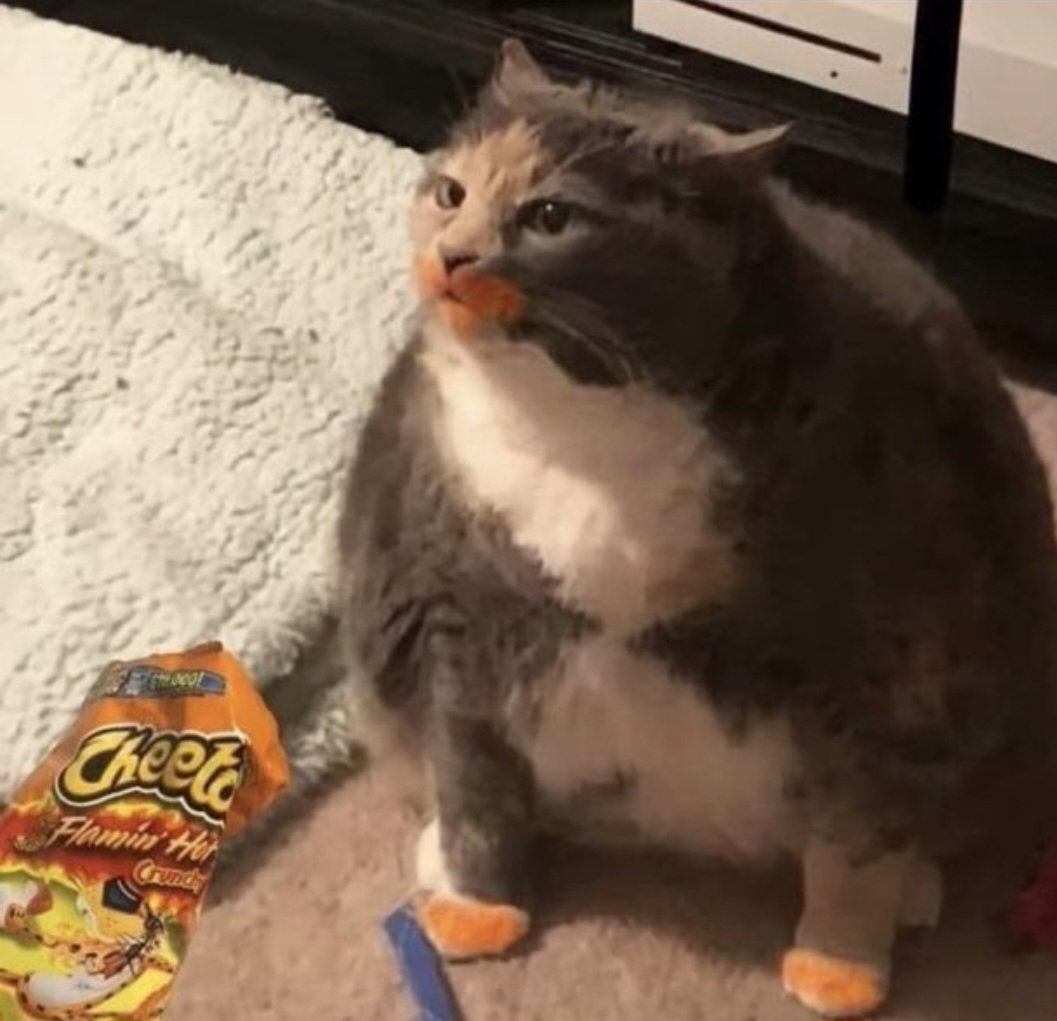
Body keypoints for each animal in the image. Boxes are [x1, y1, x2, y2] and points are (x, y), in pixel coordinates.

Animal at [338, 39, 1057, 1019]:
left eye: (551, 214)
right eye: (449, 191)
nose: (451, 255)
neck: (580, 434)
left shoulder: (884, 652)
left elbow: (858, 837)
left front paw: (837, 968)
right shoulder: (455, 613)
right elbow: (473, 774)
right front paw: (476, 908)